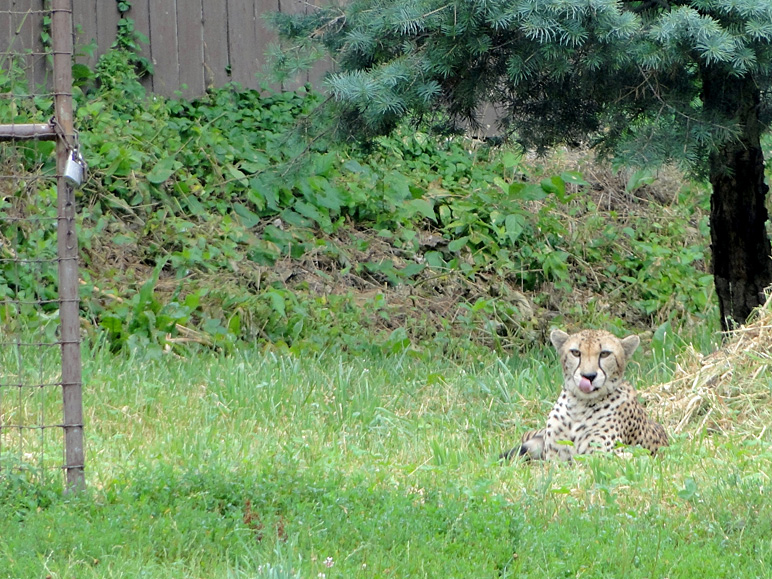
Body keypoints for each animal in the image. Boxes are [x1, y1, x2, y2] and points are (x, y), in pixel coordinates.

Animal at [504, 330, 668, 462]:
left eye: (605, 354)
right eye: (576, 352)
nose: (588, 376)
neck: (579, 404)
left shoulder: (600, 455)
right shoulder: (555, 457)